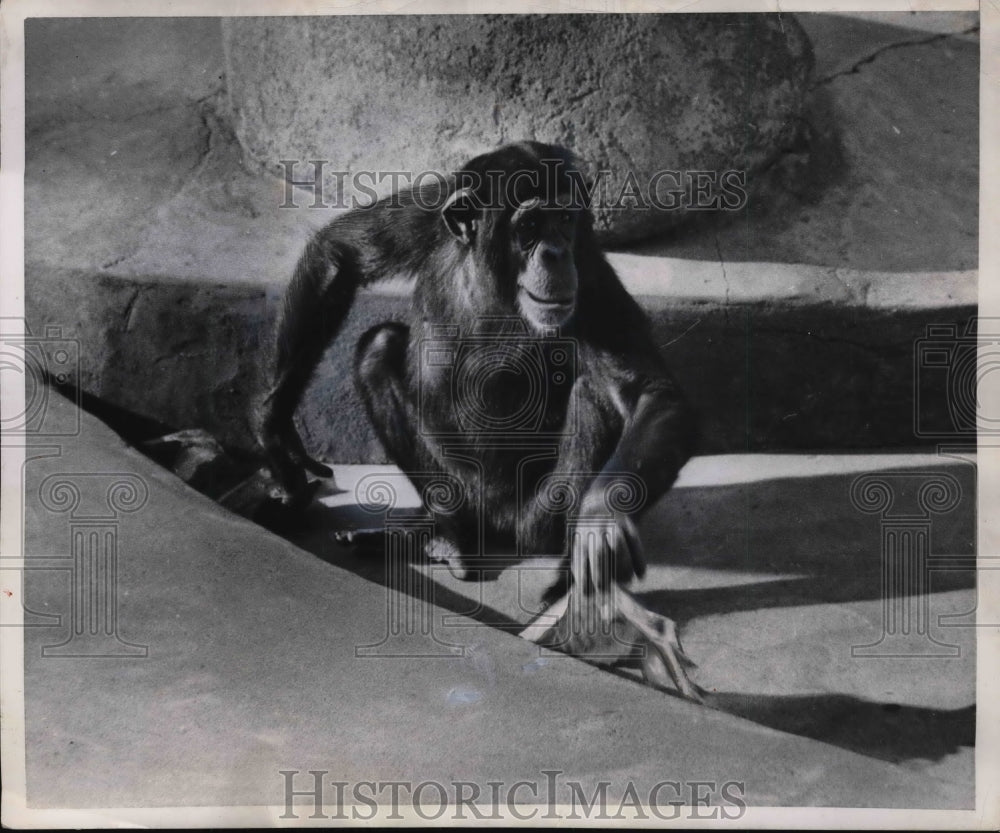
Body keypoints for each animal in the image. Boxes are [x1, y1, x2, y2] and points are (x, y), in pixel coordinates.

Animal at [257, 141, 696, 665]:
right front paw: (276, 429)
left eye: (565, 218)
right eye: (530, 225)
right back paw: (441, 536)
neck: (495, 276)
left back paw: (564, 583)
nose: (555, 252)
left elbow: (648, 391)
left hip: (535, 516)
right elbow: (341, 252)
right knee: (377, 348)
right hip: (461, 489)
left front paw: (602, 518)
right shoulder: (431, 211)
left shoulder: (589, 270)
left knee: (593, 392)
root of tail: (496, 529)